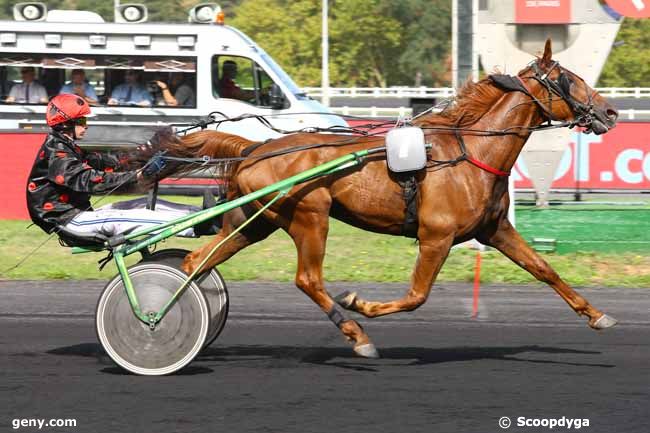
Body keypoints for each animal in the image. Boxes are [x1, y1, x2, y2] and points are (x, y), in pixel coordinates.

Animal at [148, 41, 616, 358]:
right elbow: (416, 296)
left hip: (253, 220)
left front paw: (597, 315)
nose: (609, 112)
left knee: (197, 262)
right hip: (310, 215)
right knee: (307, 279)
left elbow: (544, 269)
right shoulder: (436, 236)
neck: (471, 152)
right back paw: (357, 335)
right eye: (569, 80)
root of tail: (254, 148)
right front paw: (360, 304)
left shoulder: (494, 229)